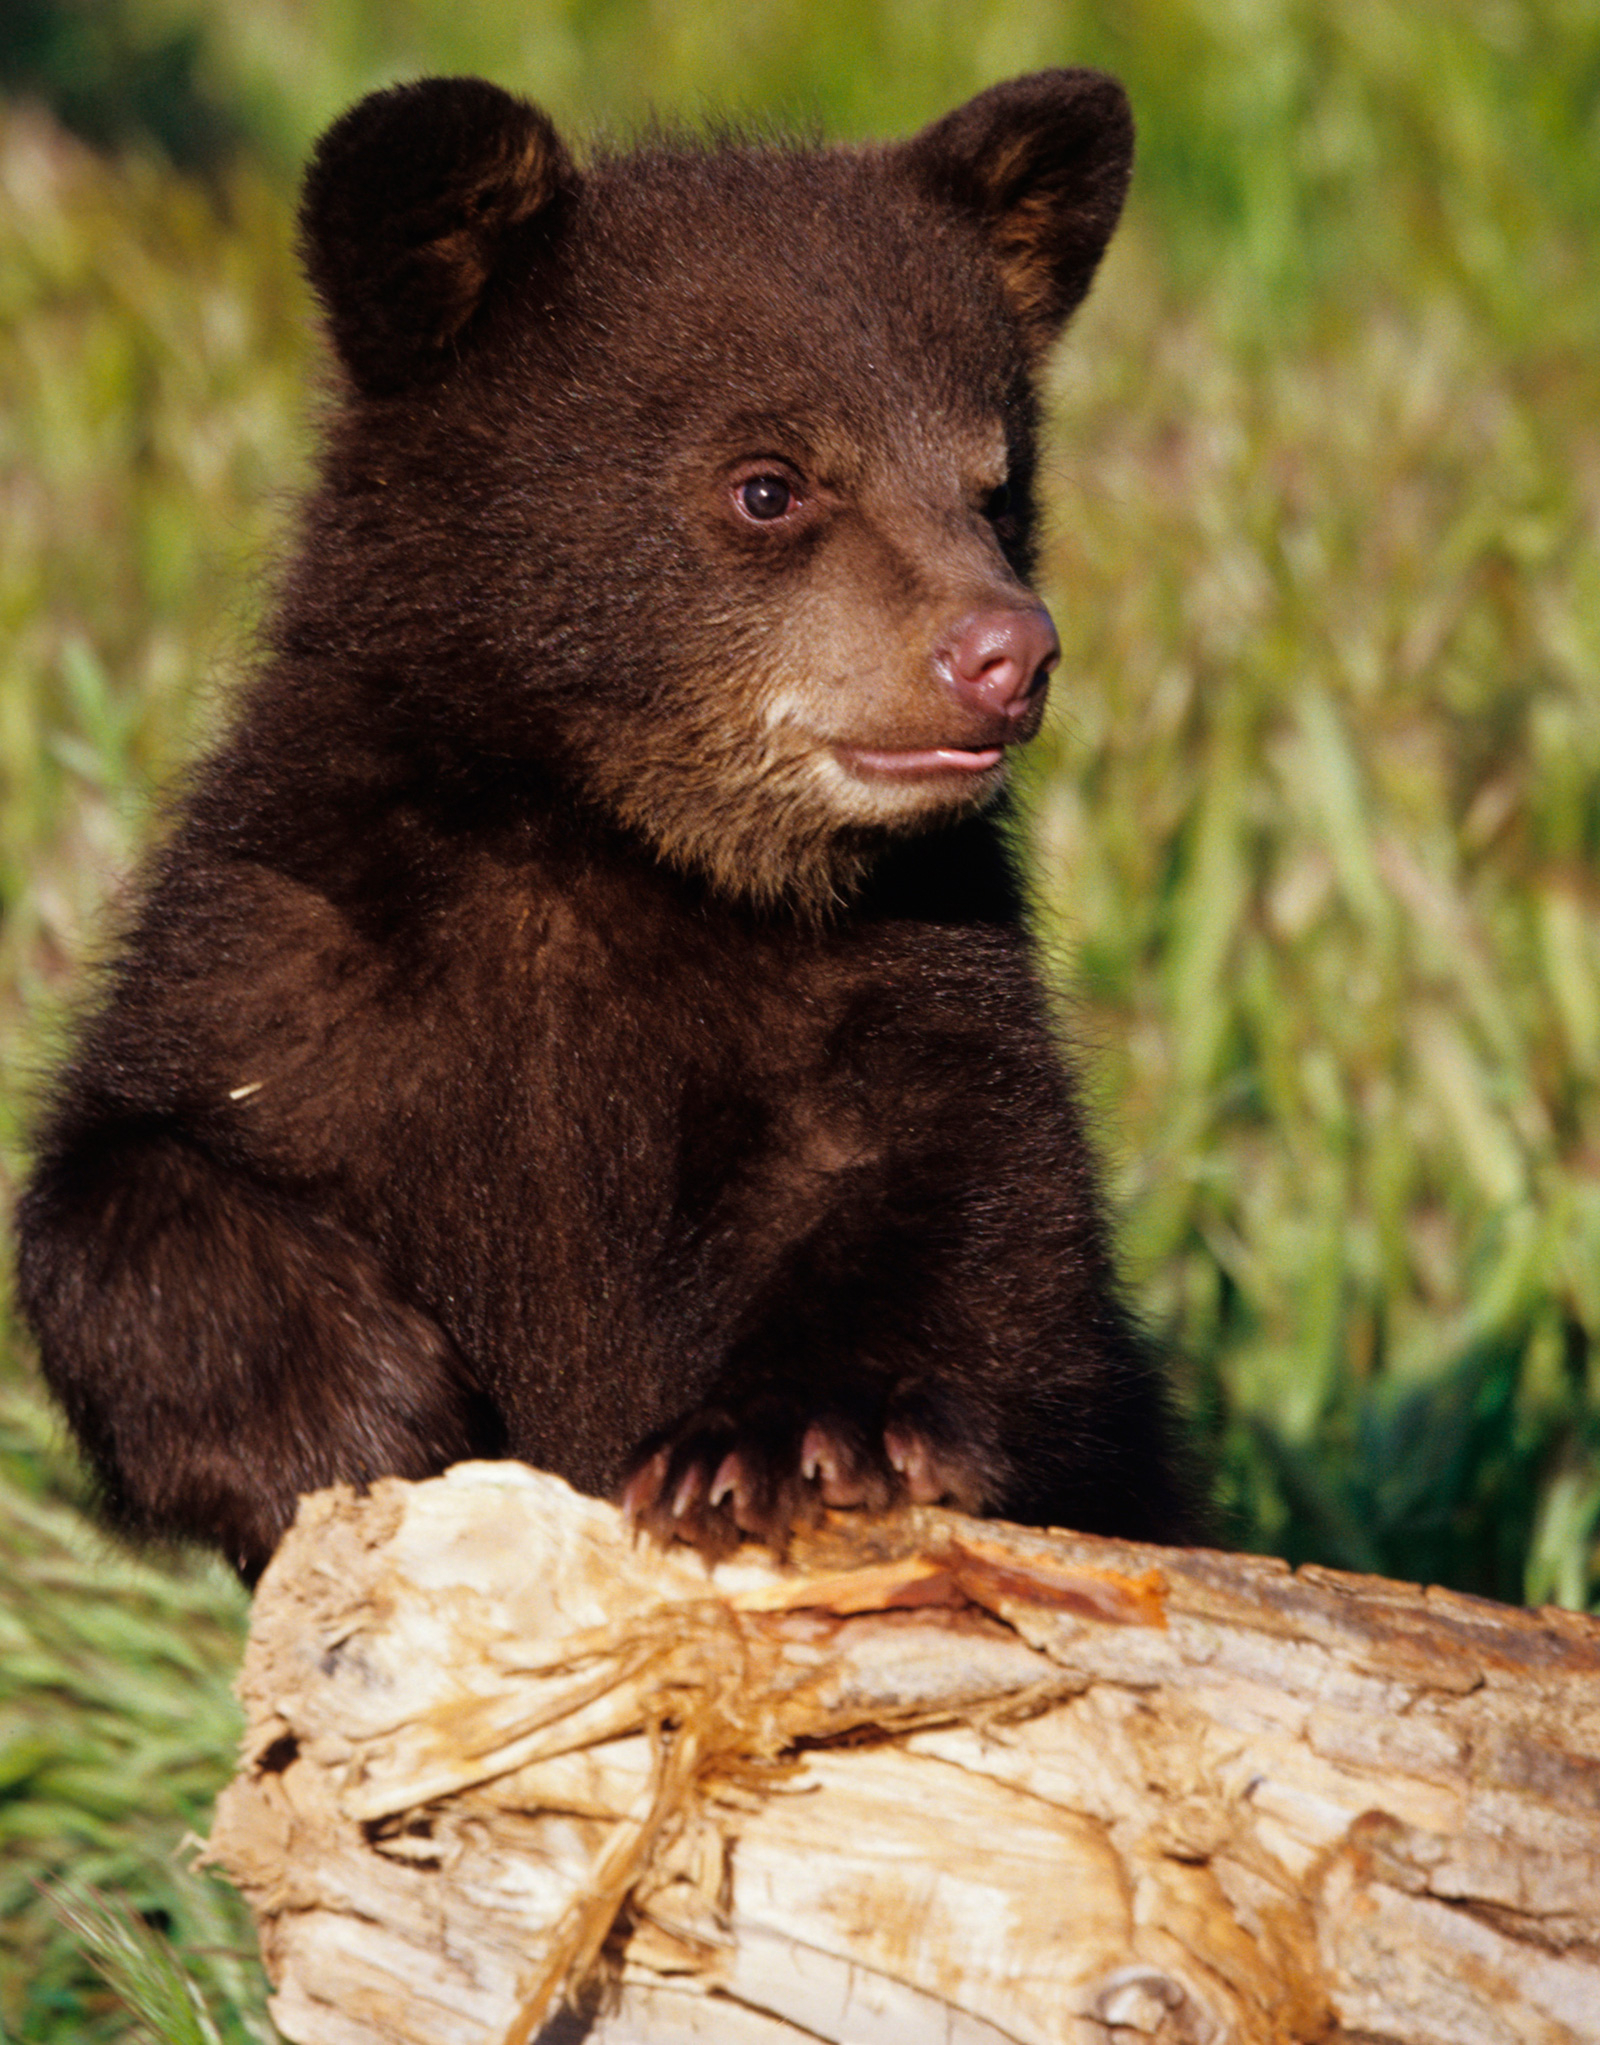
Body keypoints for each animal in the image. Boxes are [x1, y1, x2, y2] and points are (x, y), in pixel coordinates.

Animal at [15, 69, 1194, 1583]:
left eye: (997, 485)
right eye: (770, 482)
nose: (1005, 652)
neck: (607, 845)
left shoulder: (916, 966)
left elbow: (991, 1223)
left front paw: (796, 1437)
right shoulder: (281, 933)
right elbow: (116, 1180)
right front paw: (348, 1406)